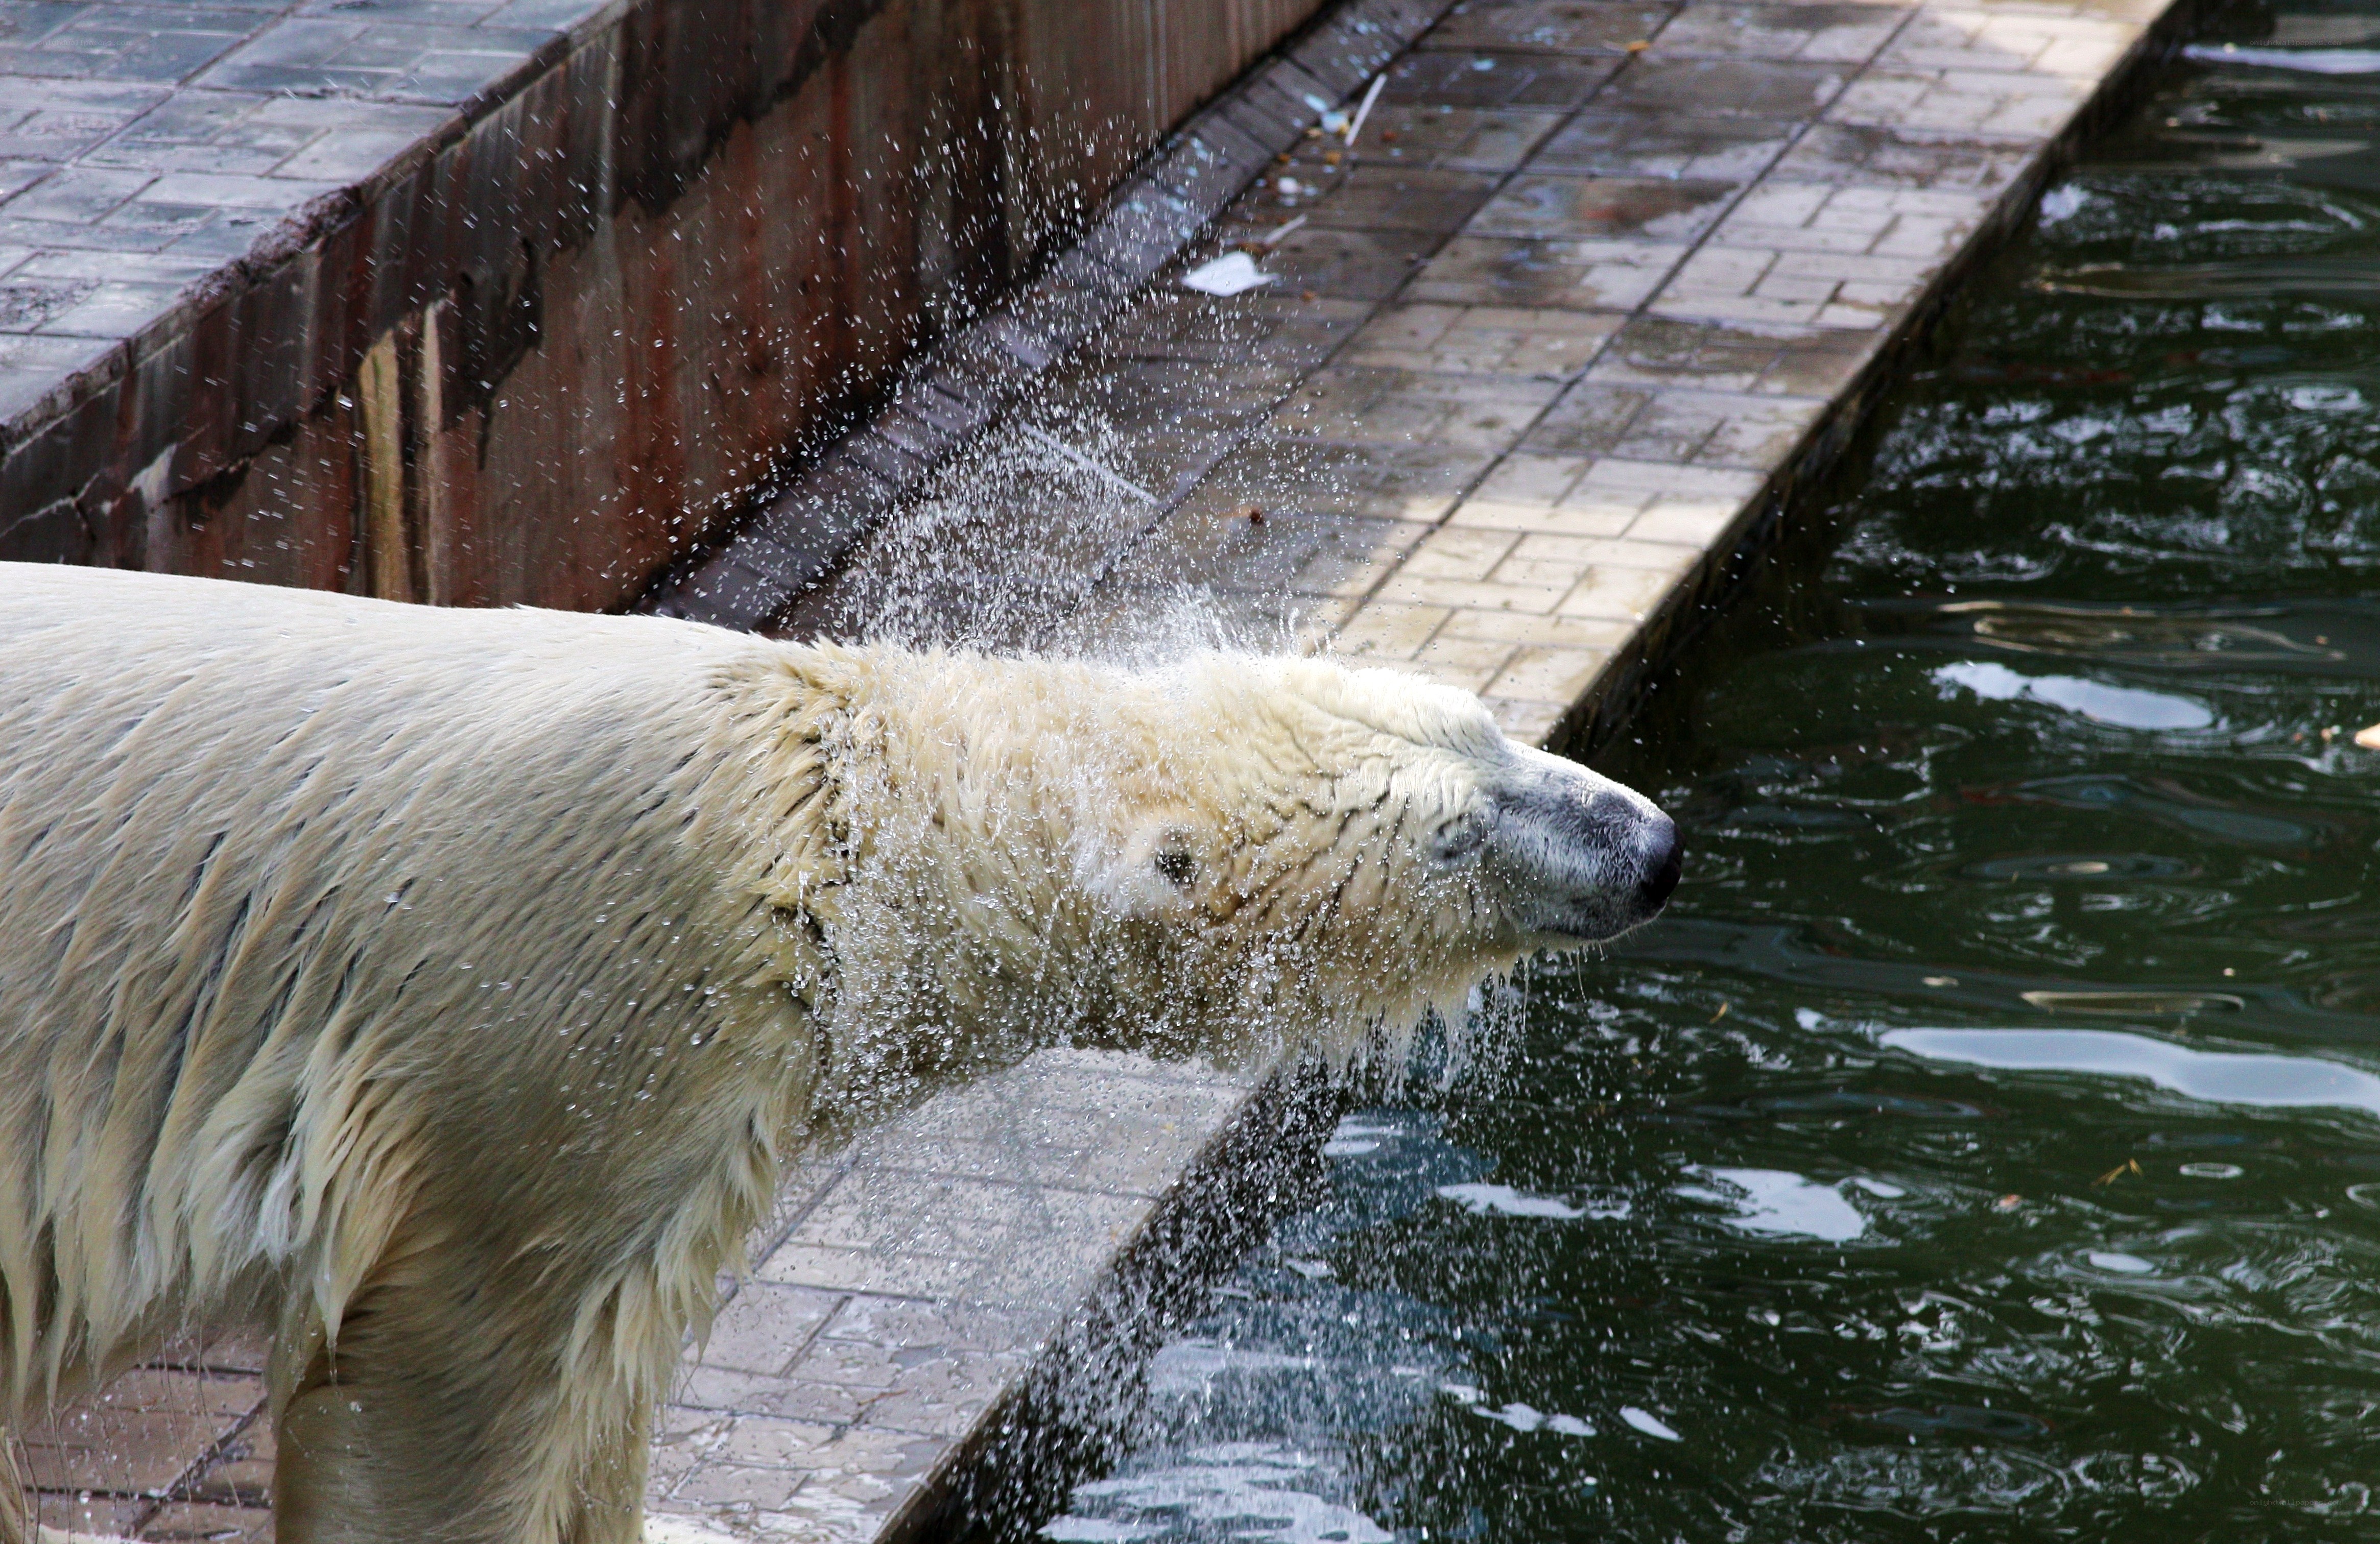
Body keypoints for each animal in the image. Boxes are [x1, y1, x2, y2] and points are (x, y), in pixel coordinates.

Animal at [0, 562, 1678, 1544]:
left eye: (1489, 726)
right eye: (1454, 834)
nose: (1653, 845)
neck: (818, 825)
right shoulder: (552, 1033)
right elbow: (442, 1382)